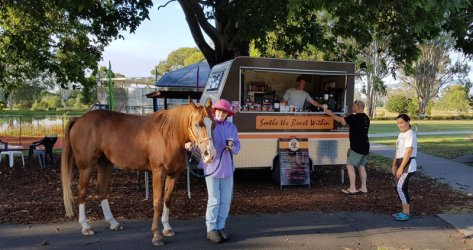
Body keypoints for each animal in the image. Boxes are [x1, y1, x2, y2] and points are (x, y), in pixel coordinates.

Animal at [61, 98, 216, 245]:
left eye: (214, 123)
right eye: (197, 124)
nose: (210, 154)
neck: (169, 134)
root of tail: (78, 120)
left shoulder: (174, 174)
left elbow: (167, 199)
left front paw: (167, 228)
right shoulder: (158, 172)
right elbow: (157, 202)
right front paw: (156, 235)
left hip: (105, 164)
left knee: (102, 190)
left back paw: (113, 223)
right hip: (86, 167)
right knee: (82, 191)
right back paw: (85, 226)